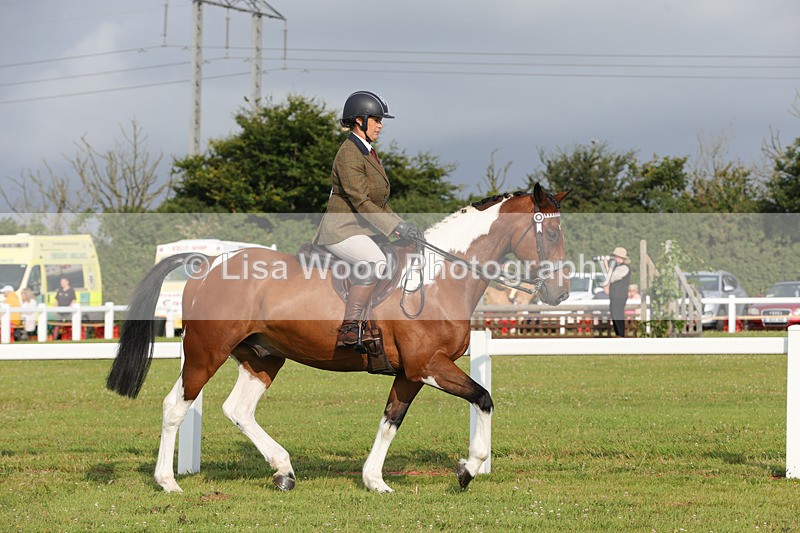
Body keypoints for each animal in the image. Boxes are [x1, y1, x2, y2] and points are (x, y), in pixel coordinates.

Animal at [106, 183, 570, 494]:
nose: (560, 292)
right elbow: (483, 398)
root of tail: (208, 262)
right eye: (549, 233)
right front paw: (468, 469)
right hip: (205, 353)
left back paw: (283, 470)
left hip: (263, 357)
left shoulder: (410, 373)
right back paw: (168, 482)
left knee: (238, 409)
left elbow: (390, 421)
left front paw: (375, 480)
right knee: (175, 406)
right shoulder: (429, 365)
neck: (438, 279)